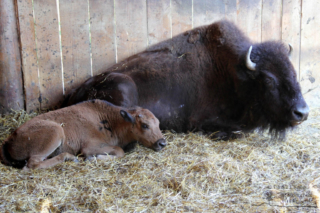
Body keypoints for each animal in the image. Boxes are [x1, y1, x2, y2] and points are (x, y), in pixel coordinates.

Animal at [0, 100, 165, 170]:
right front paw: (93, 159)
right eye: (144, 125)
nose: (162, 143)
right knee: (32, 164)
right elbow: (119, 151)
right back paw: (70, 158)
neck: (114, 121)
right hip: (56, 132)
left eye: (158, 124)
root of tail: (9, 139)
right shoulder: (89, 147)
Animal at [63, 20, 308, 140]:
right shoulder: (200, 120)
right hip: (125, 86)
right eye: (268, 80)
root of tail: (77, 90)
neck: (235, 74)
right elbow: (236, 131)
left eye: (294, 73)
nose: (302, 113)